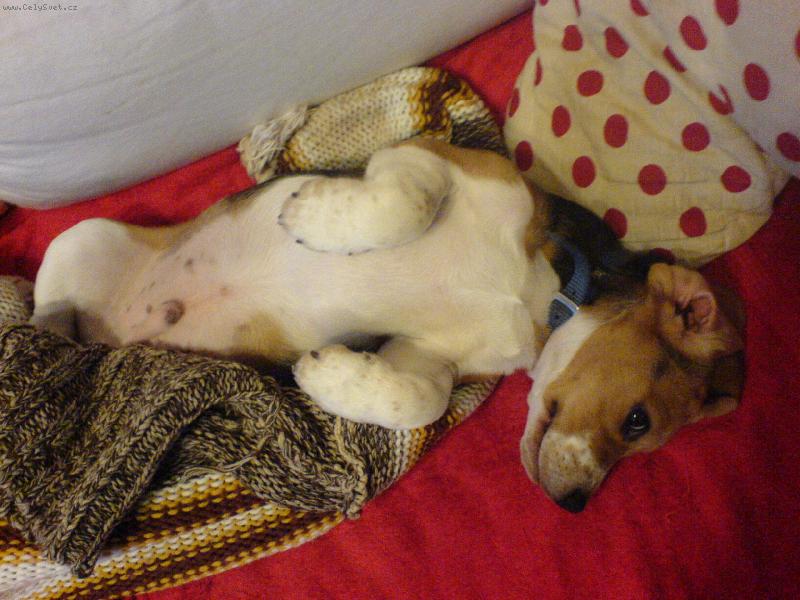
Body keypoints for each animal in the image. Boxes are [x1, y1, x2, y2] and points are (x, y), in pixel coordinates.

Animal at [31, 138, 744, 511]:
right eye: (638, 421)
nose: (575, 505)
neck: (537, 295)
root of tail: (112, 334)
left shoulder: (427, 357)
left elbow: (418, 399)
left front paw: (328, 375)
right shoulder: (428, 157)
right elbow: (405, 202)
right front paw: (311, 218)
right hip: (82, 241)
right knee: (38, 320)